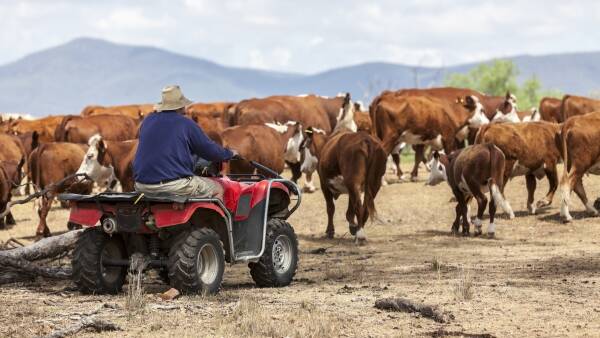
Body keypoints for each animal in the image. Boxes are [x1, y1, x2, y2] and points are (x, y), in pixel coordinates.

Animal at [302, 95, 386, 243]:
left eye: (306, 146)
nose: (303, 168)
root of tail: (366, 140)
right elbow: (349, 211)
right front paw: (352, 226)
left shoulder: (324, 184)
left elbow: (331, 208)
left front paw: (330, 231)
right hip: (374, 182)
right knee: (365, 206)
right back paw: (358, 230)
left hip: (353, 180)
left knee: (359, 206)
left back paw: (360, 235)